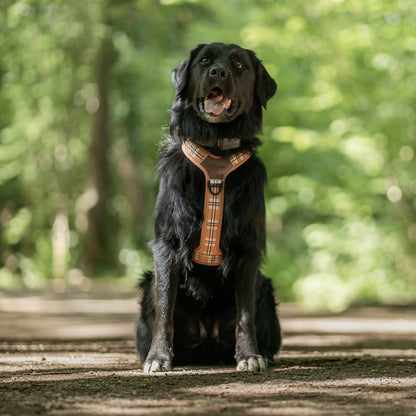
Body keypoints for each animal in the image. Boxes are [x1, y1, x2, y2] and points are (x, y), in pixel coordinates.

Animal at [136, 43, 282, 374]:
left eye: (239, 65)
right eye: (204, 61)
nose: (218, 72)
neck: (215, 153)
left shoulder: (248, 248)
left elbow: (245, 313)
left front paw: (249, 355)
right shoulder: (167, 245)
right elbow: (164, 309)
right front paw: (158, 357)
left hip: (266, 288)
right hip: (148, 284)